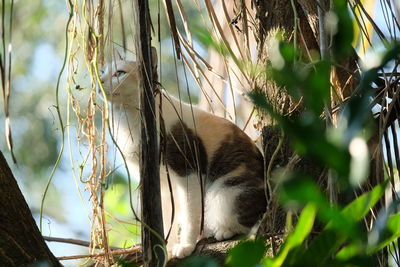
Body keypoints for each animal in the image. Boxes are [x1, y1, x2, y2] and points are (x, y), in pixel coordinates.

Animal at [99, 50, 268, 260]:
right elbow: (166, 216)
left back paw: (223, 231)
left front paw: (185, 246)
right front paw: (165, 248)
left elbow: (188, 214)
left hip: (224, 191)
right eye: (103, 71)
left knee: (250, 220)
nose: (99, 80)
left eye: (119, 73)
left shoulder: (187, 171)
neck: (128, 120)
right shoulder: (157, 183)